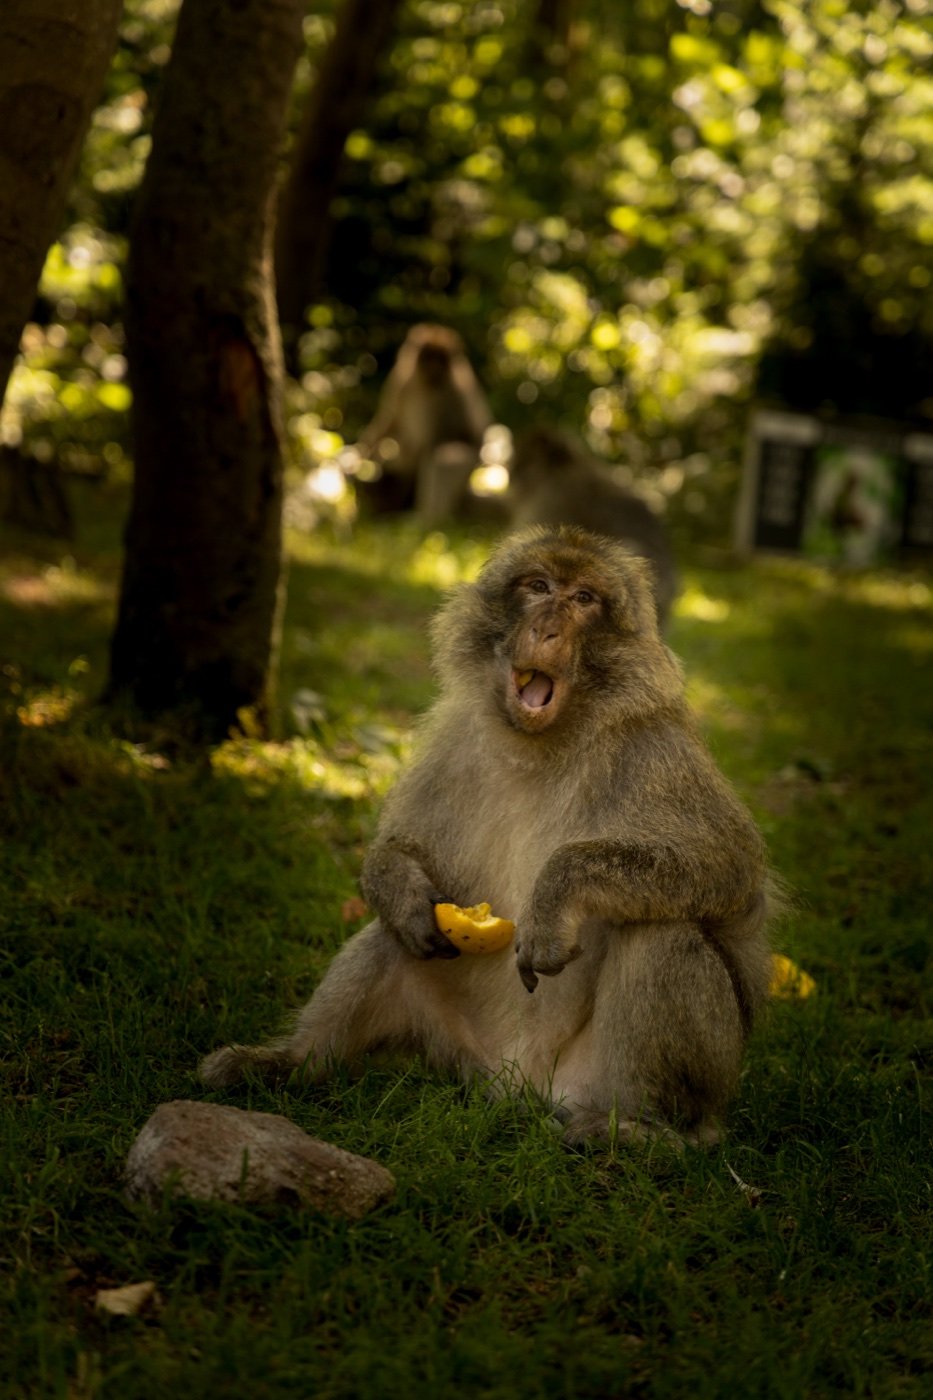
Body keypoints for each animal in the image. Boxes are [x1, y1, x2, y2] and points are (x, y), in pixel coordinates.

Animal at [201, 525, 774, 1146]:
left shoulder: (656, 752)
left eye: (583, 600)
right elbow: (402, 849)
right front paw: (402, 888)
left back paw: (645, 1129)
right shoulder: (454, 738)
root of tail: (518, 1082)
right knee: (390, 934)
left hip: (613, 1082)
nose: (547, 628)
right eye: (539, 587)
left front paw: (554, 896)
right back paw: (293, 1063)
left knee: (663, 934)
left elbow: (727, 868)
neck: (540, 744)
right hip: (456, 1047)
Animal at [353, 324, 492, 522]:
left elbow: (433, 442)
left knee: (446, 454)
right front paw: (363, 456)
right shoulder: (401, 379)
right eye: (428, 356)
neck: (425, 382)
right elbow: (389, 419)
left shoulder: (448, 392)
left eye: (440, 358)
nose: (433, 366)